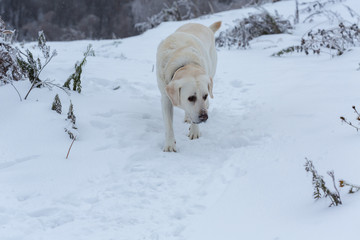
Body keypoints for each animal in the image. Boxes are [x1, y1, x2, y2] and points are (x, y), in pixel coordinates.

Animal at [156, 21, 221, 152]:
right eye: (191, 98)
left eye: (205, 96)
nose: (204, 117)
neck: (185, 64)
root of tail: (204, 26)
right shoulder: (165, 98)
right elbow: (168, 125)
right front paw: (170, 145)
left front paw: (195, 132)